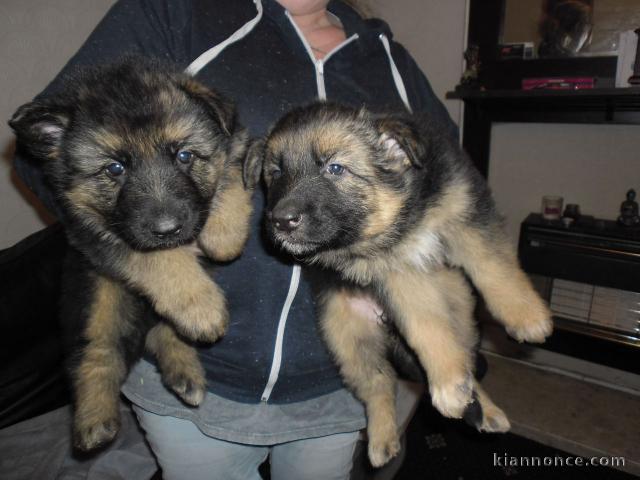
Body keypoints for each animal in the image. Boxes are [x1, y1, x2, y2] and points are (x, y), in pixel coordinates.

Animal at [8, 59, 252, 450]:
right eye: (115, 168)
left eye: (184, 155)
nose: (168, 228)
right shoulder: (96, 233)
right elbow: (157, 258)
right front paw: (199, 305)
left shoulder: (236, 143)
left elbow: (228, 172)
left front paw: (224, 233)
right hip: (97, 294)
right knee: (96, 350)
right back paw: (94, 419)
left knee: (162, 331)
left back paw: (184, 373)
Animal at [242, 103, 552, 466]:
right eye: (276, 172)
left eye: (335, 168)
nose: (280, 221)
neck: (403, 219)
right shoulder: (395, 275)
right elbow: (426, 325)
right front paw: (447, 383)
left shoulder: (467, 214)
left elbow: (494, 265)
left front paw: (527, 316)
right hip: (345, 334)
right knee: (379, 382)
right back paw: (382, 439)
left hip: (459, 306)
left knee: (467, 361)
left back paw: (483, 408)